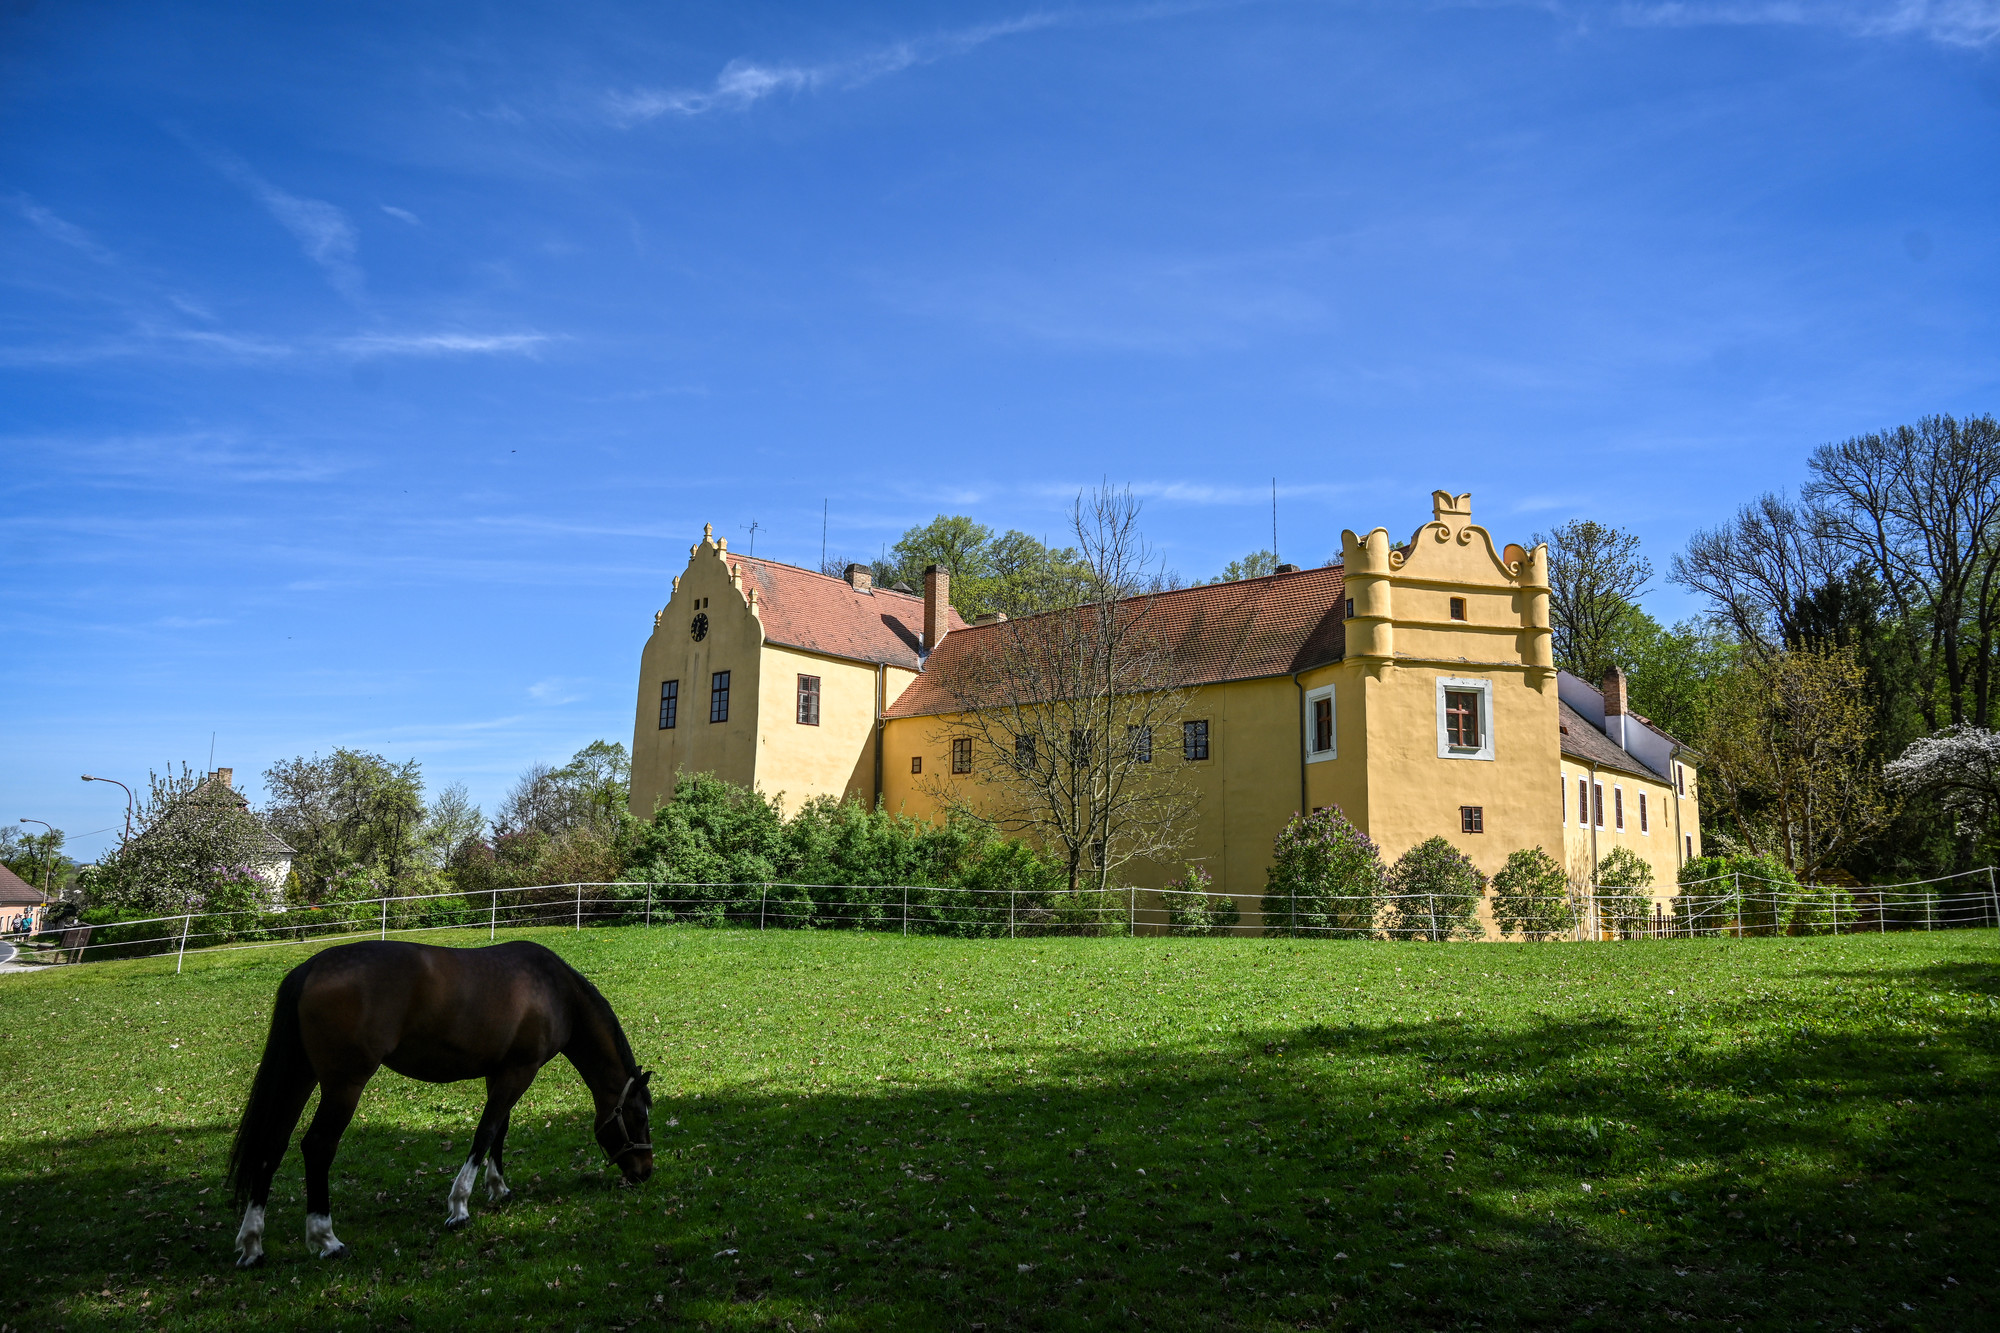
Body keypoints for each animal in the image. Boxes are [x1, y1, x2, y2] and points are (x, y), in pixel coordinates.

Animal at [228, 932, 652, 1264]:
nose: (645, 1172)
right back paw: (326, 1239)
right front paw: (460, 1206)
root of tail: (311, 968)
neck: (555, 991)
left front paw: (499, 1189)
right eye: (639, 1116)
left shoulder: (502, 1072)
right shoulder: (519, 1071)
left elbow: (500, 1130)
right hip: (344, 1084)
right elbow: (485, 1133)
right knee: (317, 1146)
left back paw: (252, 1244)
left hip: (300, 1076)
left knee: (272, 1146)